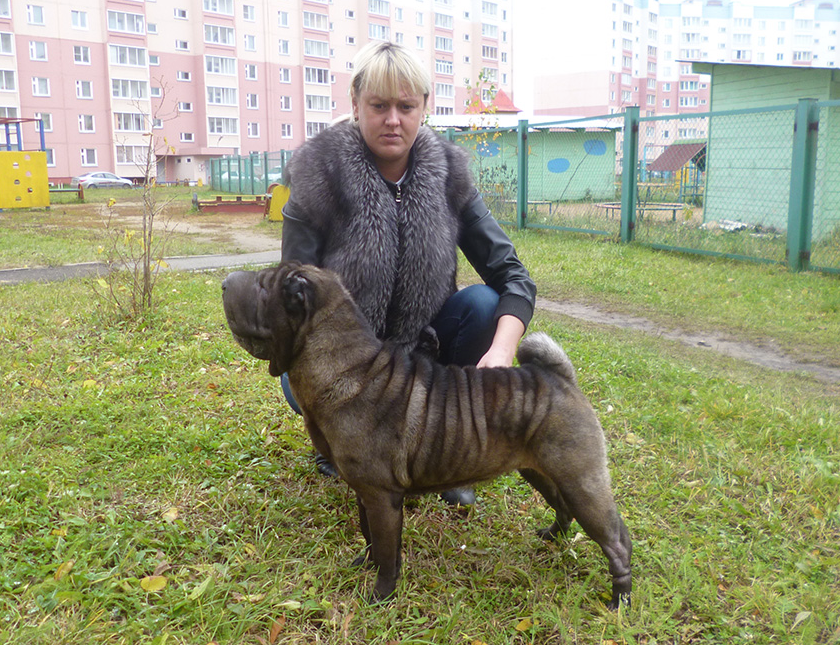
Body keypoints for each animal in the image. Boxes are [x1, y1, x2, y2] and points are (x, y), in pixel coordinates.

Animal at [222, 261, 632, 608]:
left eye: (262, 286)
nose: (225, 282)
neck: (345, 366)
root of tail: (560, 377)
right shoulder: (366, 492)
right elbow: (370, 538)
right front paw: (364, 565)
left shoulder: (382, 496)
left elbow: (386, 551)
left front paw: (380, 597)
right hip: (539, 471)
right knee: (563, 508)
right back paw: (552, 537)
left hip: (581, 480)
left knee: (616, 542)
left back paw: (620, 601)